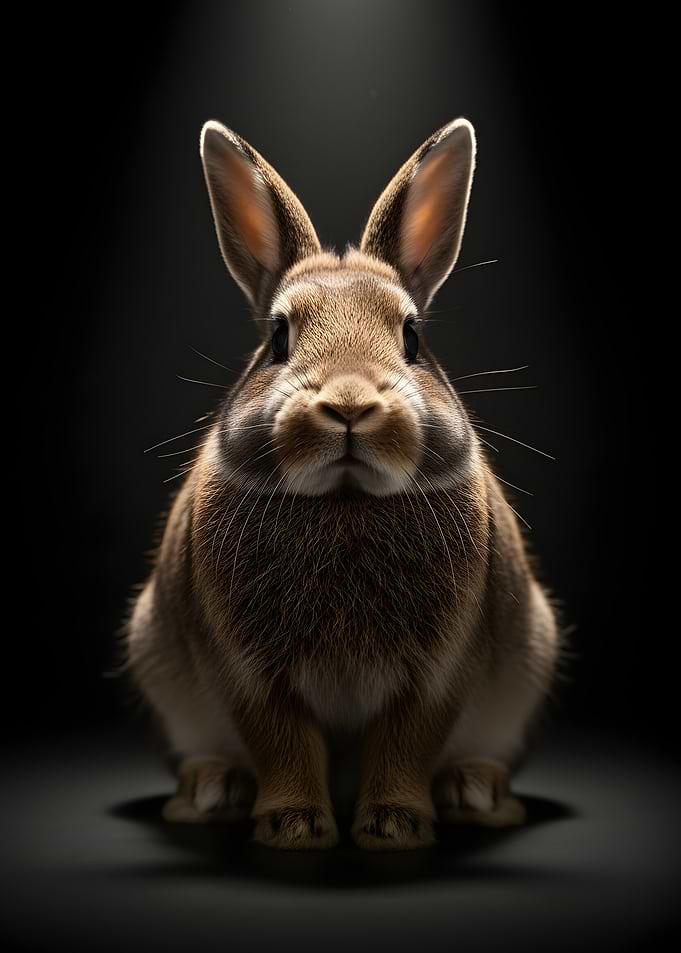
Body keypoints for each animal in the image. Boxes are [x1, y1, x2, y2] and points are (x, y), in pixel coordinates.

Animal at [125, 117, 561, 851]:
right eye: (278, 336)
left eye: (411, 335)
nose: (350, 405)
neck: (345, 496)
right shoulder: (248, 671)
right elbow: (282, 740)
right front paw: (293, 824)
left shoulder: (440, 668)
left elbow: (408, 740)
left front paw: (395, 823)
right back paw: (211, 791)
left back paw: (474, 791)